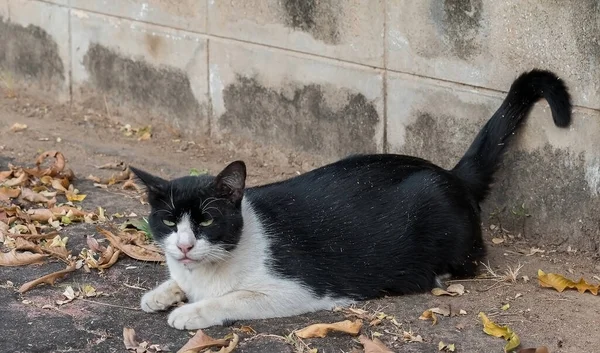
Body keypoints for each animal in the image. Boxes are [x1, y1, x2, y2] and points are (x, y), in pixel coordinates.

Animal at [130, 69, 572, 330]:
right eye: (168, 222)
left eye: (206, 221)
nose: (185, 246)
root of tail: (450, 174)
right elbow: (177, 281)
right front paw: (163, 292)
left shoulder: (296, 289)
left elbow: (233, 298)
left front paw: (189, 311)